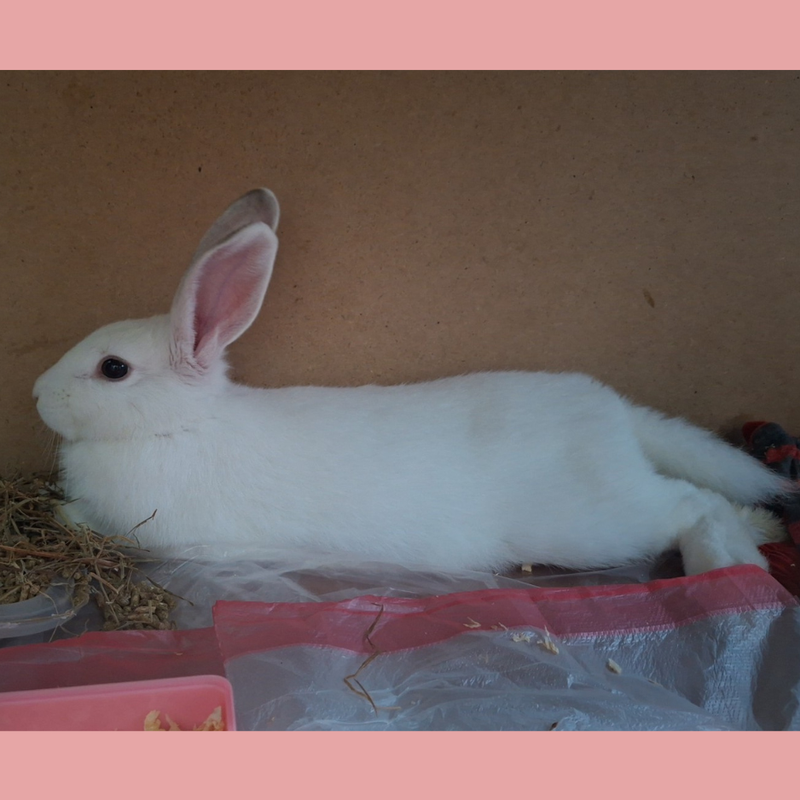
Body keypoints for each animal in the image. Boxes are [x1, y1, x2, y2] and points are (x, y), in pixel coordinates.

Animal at [33, 188, 790, 575]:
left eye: (112, 369)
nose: (36, 395)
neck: (180, 425)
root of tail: (615, 413)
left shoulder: (156, 535)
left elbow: (82, 519)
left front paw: (63, 513)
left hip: (597, 523)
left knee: (693, 506)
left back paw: (727, 561)